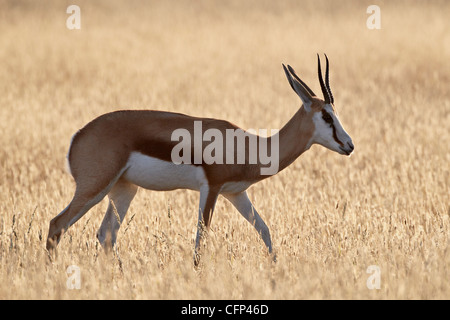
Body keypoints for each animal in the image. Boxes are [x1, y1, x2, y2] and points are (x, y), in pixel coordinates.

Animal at [46, 55, 356, 264]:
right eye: (326, 115)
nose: (349, 145)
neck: (250, 145)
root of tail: (78, 136)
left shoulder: (236, 193)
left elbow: (265, 231)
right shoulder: (212, 188)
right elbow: (200, 242)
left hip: (123, 189)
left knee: (106, 235)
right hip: (94, 189)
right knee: (57, 225)